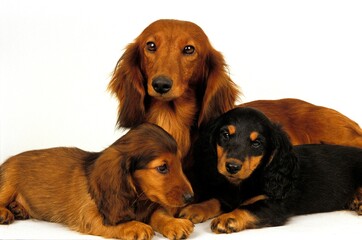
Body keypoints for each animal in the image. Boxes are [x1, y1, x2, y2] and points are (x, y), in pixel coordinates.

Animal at [181, 107, 362, 234]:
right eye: (225, 134)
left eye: (257, 143)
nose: (232, 167)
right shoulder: (227, 196)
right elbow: (215, 200)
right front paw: (195, 208)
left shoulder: (274, 205)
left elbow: (249, 208)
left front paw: (228, 218)